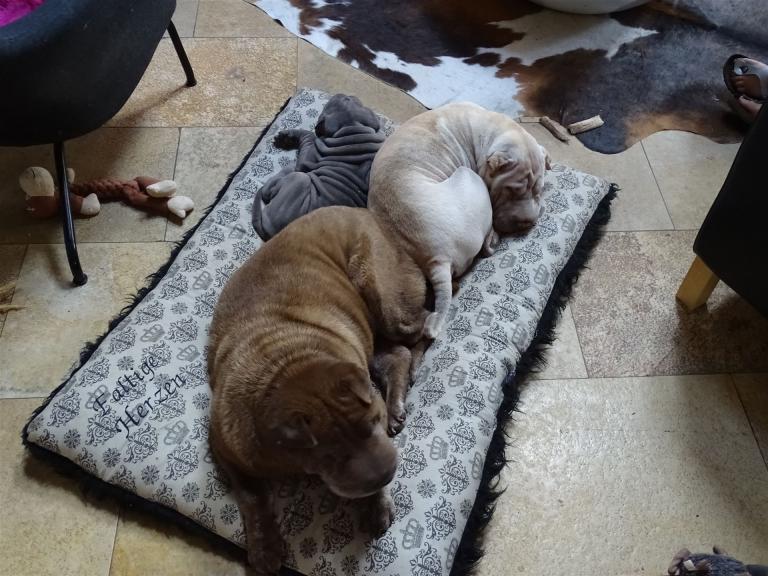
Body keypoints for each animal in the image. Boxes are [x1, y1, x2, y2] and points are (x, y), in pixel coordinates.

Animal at [208, 206, 427, 574]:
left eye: (374, 423)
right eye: (328, 456)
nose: (386, 474)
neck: (286, 367)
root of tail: (363, 210)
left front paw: (377, 505)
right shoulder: (226, 446)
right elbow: (252, 496)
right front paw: (264, 546)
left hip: (383, 295)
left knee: (423, 329)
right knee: (397, 352)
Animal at [368, 101, 550, 338]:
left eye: (538, 190)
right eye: (511, 191)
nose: (527, 222)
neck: (494, 128)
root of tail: (438, 257)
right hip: (468, 177)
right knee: (485, 240)